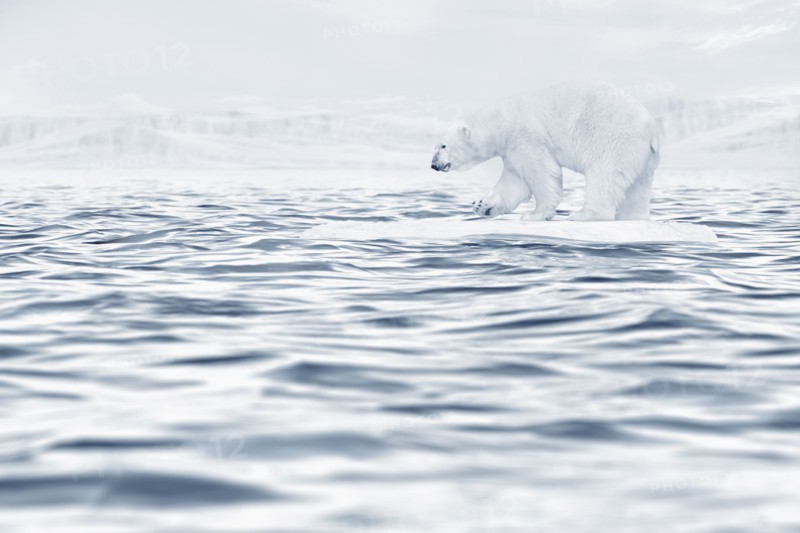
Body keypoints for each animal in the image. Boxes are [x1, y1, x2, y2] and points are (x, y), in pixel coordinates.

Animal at [430, 81, 660, 221]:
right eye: (436, 145)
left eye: (443, 145)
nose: (433, 165)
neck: (502, 120)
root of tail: (651, 128)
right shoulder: (511, 152)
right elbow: (513, 183)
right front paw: (482, 205)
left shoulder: (525, 137)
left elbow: (542, 173)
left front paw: (534, 214)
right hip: (641, 158)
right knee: (636, 189)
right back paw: (632, 217)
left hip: (613, 139)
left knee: (605, 176)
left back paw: (584, 214)